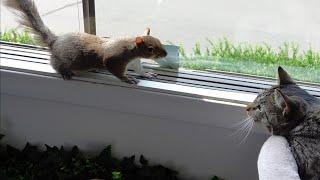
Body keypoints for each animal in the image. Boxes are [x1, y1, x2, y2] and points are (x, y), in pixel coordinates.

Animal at [4, 0, 168, 84]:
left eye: (160, 41)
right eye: (150, 48)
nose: (165, 54)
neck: (131, 49)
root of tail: (55, 42)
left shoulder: (134, 62)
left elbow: (140, 70)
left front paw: (147, 74)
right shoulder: (116, 58)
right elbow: (114, 69)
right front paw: (127, 78)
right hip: (64, 59)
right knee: (55, 65)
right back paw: (64, 72)